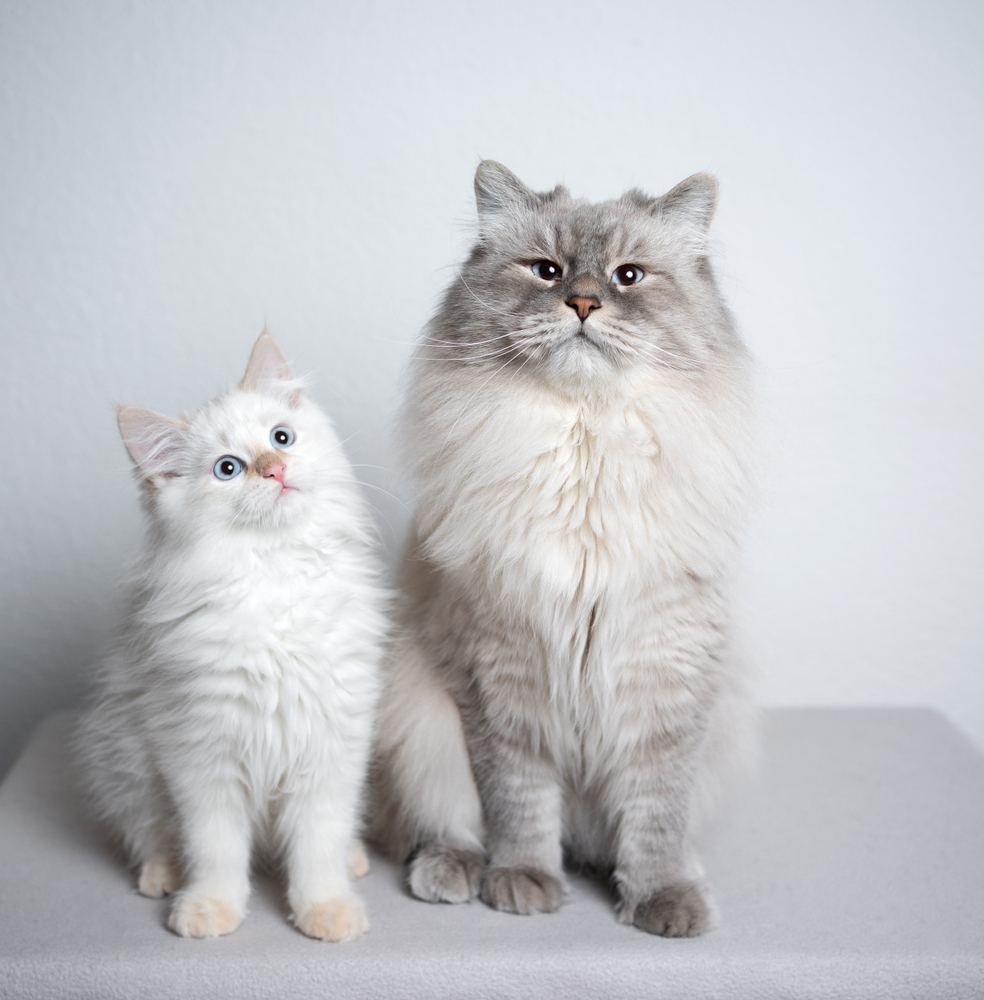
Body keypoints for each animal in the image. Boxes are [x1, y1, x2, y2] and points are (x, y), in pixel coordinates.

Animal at [77, 332, 388, 940]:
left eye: (281, 438)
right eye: (228, 468)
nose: (274, 469)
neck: (277, 571)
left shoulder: (331, 747)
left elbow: (317, 845)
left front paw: (325, 908)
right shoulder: (201, 754)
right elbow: (215, 849)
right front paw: (209, 909)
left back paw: (355, 860)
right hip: (124, 760)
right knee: (151, 835)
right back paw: (163, 876)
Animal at [372, 162, 756, 936]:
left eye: (629, 275)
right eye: (545, 271)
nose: (582, 302)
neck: (589, 447)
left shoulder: (663, 679)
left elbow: (656, 817)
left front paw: (663, 900)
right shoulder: (502, 677)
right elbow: (519, 806)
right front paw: (523, 883)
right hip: (418, 722)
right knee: (442, 824)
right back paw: (453, 873)